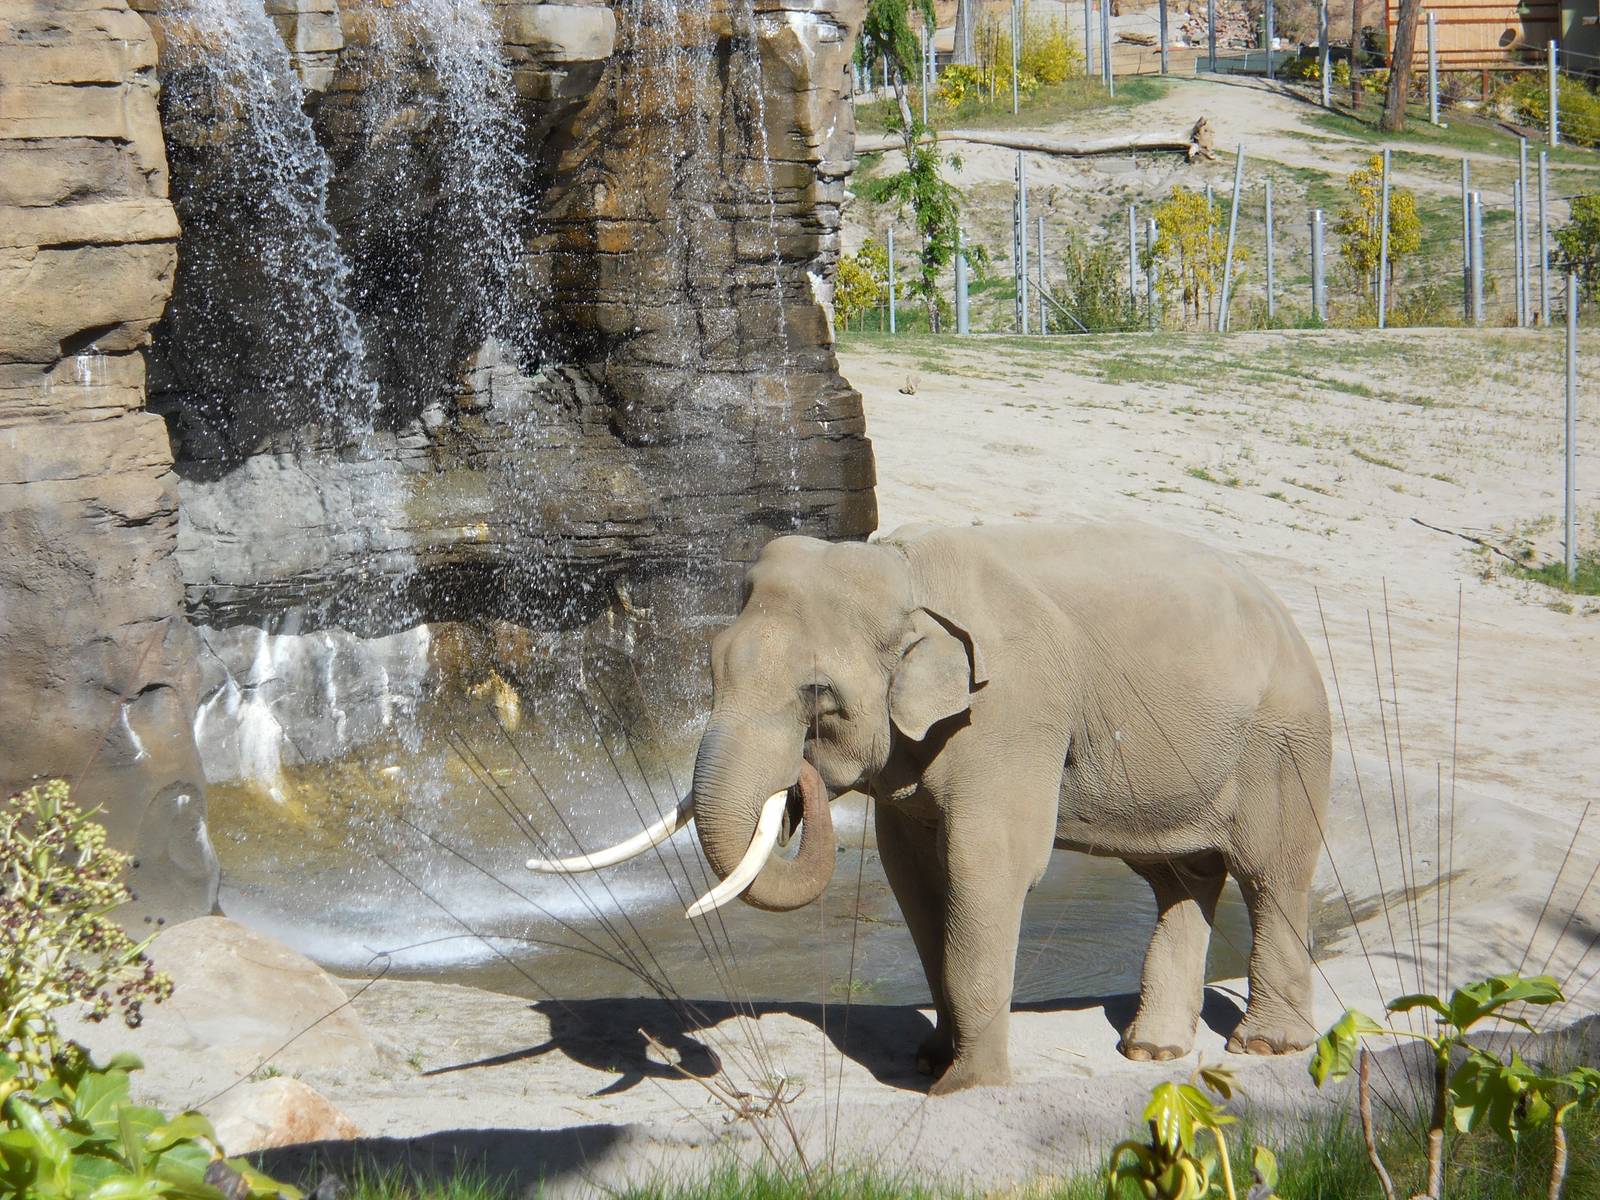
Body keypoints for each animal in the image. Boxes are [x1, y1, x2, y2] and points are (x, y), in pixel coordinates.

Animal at [529, 521, 1333, 1094]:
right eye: (712, 666)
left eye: (816, 694)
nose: (798, 782)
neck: (901, 566)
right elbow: (913, 875)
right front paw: (928, 1060)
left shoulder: (1010, 715)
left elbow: (986, 865)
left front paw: (963, 1089)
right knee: (1178, 879)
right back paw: (1151, 1050)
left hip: (1282, 746)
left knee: (1271, 876)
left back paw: (1264, 1044)